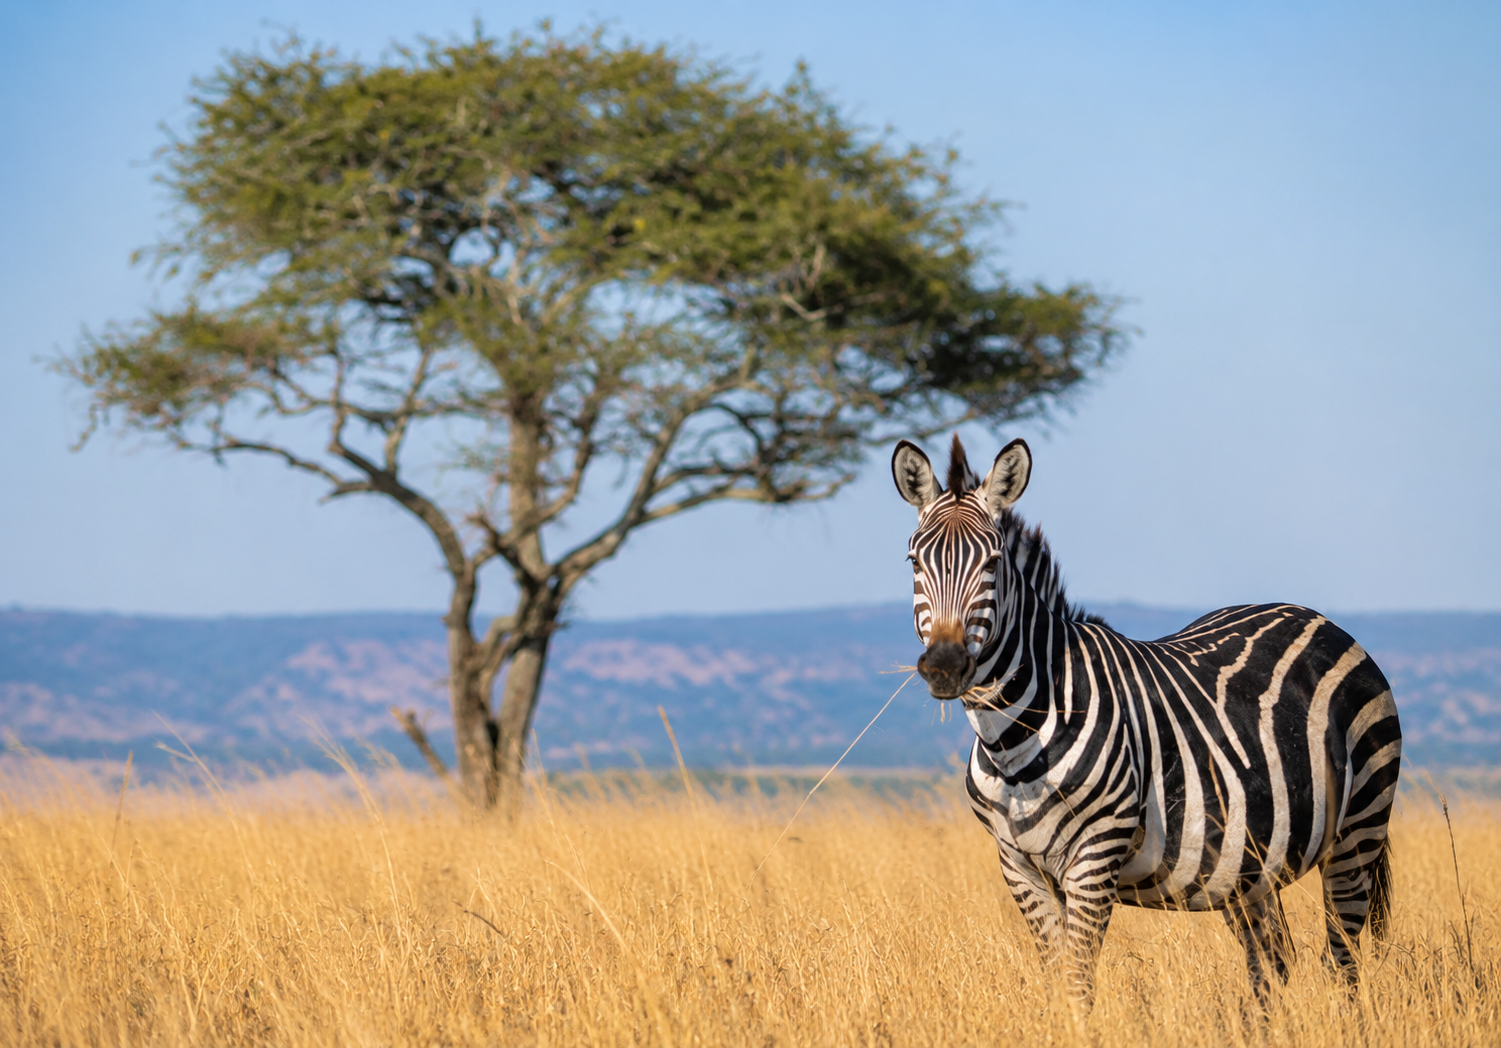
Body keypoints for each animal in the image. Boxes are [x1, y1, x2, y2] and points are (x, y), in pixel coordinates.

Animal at [891, 434, 1401, 1008]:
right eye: (913, 560)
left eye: (993, 563)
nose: (945, 665)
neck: (1015, 741)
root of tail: (1315, 617)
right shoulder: (1017, 863)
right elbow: (1058, 979)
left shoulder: (1095, 854)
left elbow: (1077, 984)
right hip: (1249, 864)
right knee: (1271, 965)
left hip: (1358, 830)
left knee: (1343, 961)